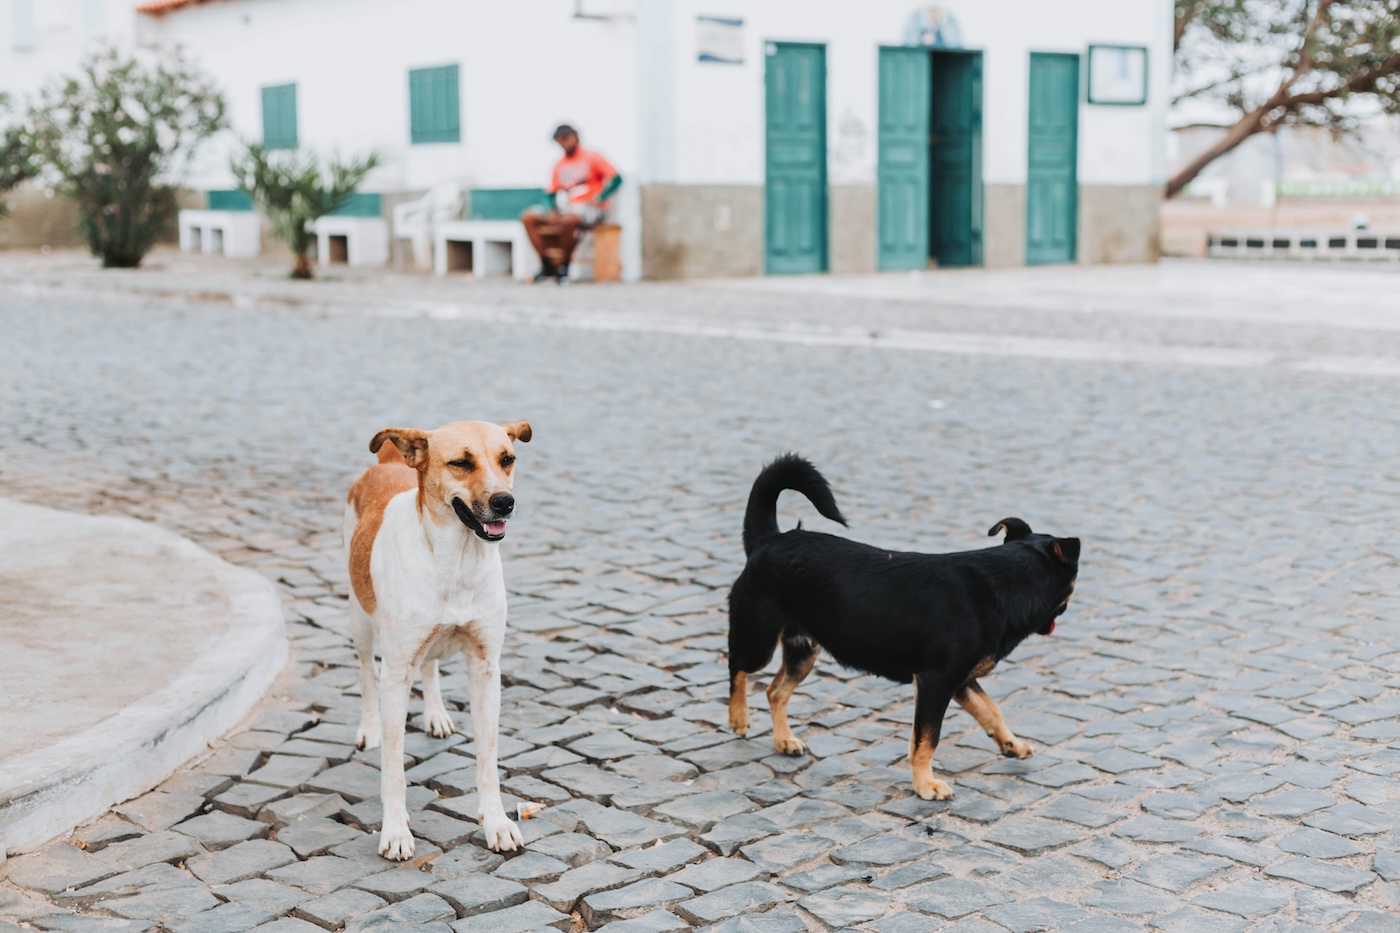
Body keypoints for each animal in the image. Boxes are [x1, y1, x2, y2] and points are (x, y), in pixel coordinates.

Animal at [343, 420, 529, 857]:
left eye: (507, 458)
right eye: (461, 462)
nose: (505, 502)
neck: (457, 559)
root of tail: (390, 462)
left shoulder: (485, 667)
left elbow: (488, 758)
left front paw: (496, 823)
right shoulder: (395, 675)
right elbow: (393, 769)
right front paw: (395, 831)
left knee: (429, 666)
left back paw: (436, 714)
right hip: (360, 622)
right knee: (365, 675)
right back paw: (369, 728)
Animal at [728, 453, 1075, 795]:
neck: (1002, 584)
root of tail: (769, 539)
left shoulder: (961, 681)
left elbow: (992, 710)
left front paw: (1011, 744)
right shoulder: (936, 682)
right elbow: (927, 739)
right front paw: (925, 785)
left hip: (803, 649)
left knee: (775, 690)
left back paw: (784, 739)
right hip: (759, 638)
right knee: (738, 667)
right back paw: (738, 717)